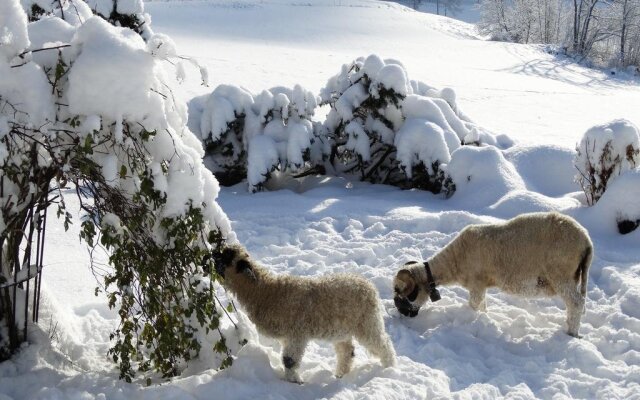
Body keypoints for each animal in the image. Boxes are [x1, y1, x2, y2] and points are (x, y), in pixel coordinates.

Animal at [215, 245, 396, 382]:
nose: (211, 254)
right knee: (347, 351)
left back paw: (390, 368)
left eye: (226, 256)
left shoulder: (297, 334)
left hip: (367, 322)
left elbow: (289, 360)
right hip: (342, 329)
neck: (265, 291)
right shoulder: (287, 336)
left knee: (383, 344)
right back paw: (340, 375)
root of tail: (369, 286)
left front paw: (295, 382)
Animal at [392, 211, 592, 336]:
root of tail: (586, 241)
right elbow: (482, 305)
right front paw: (482, 318)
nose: (402, 316)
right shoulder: (481, 286)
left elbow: (474, 305)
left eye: (407, 293)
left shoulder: (476, 284)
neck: (454, 261)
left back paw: (571, 333)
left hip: (561, 275)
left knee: (576, 302)